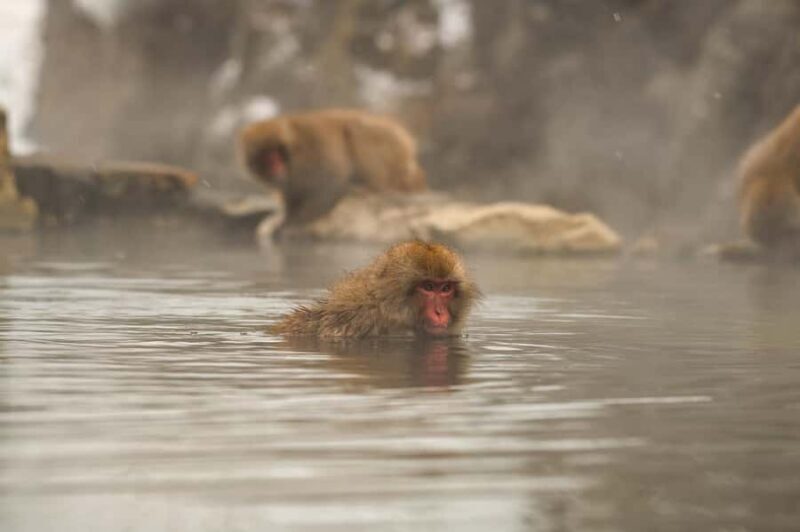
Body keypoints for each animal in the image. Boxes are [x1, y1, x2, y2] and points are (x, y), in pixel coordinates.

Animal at [239, 109, 427, 224]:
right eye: (265, 157)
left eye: (276, 154)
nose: (275, 166)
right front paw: (287, 213)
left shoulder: (315, 152)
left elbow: (331, 182)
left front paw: (295, 221)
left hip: (392, 148)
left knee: (356, 131)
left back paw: (371, 188)